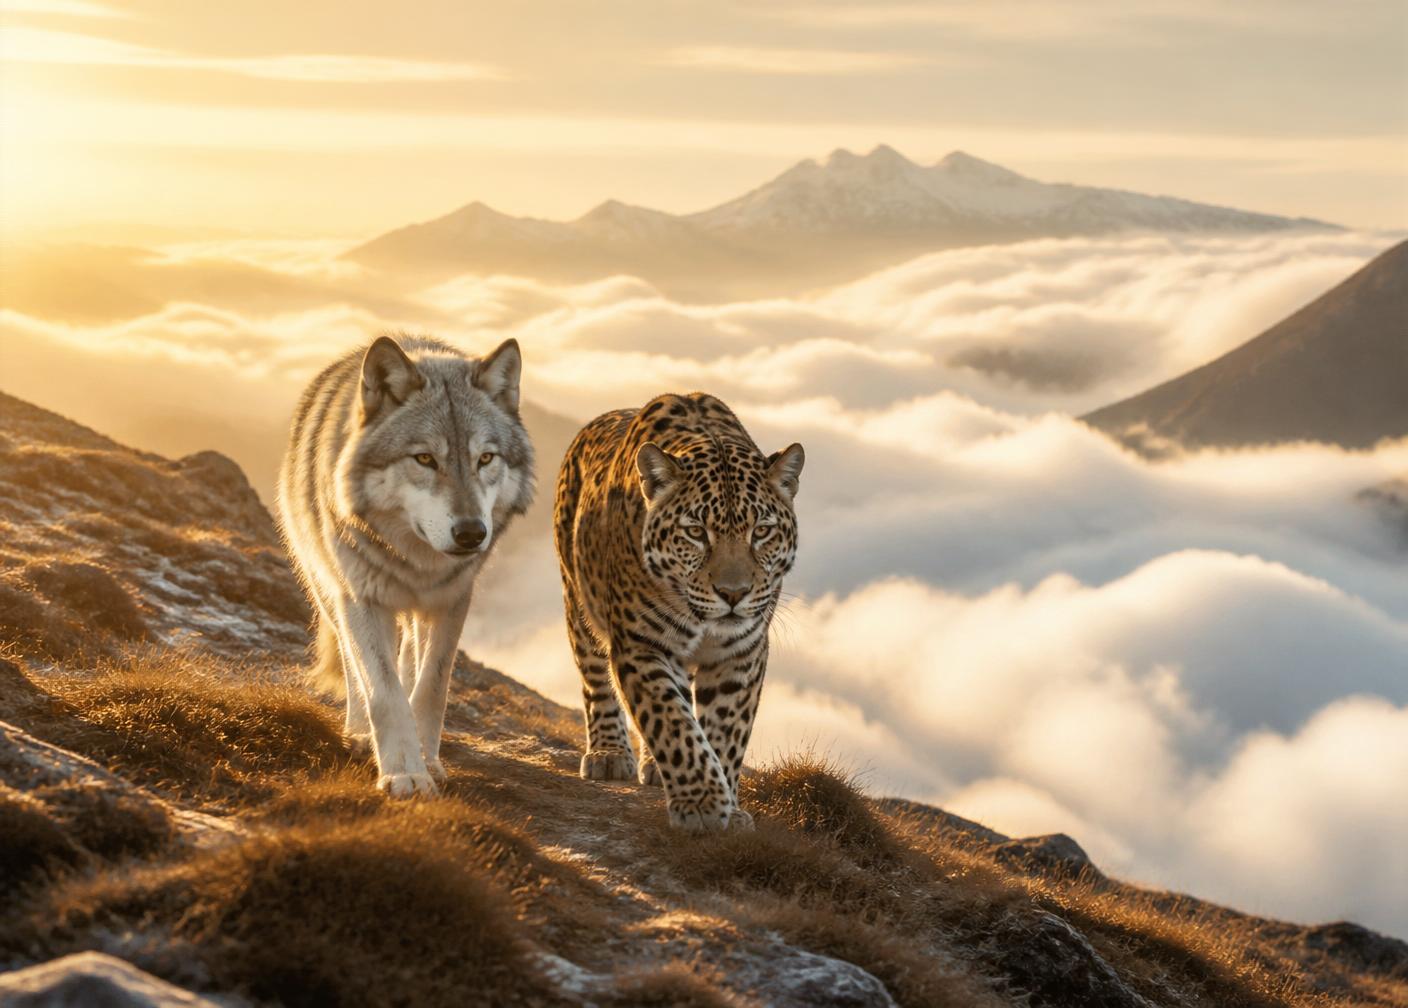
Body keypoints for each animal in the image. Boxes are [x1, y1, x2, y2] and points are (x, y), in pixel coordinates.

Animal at [277, 334, 533, 797]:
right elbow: (384, 691)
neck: (416, 563)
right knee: (353, 666)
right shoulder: (361, 599)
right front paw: (404, 772)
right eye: (425, 459)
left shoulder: (452, 600)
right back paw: (361, 734)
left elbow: (430, 686)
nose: (472, 533)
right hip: (329, 593)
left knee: (411, 656)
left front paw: (425, 759)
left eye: (486, 459)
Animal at [554, 392, 804, 832]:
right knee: (594, 678)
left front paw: (728, 807)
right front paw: (702, 803)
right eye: (695, 533)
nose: (734, 594)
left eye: (761, 532)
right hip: (577, 600)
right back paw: (609, 753)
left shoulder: (742, 652)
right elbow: (670, 720)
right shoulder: (641, 644)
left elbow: (725, 732)